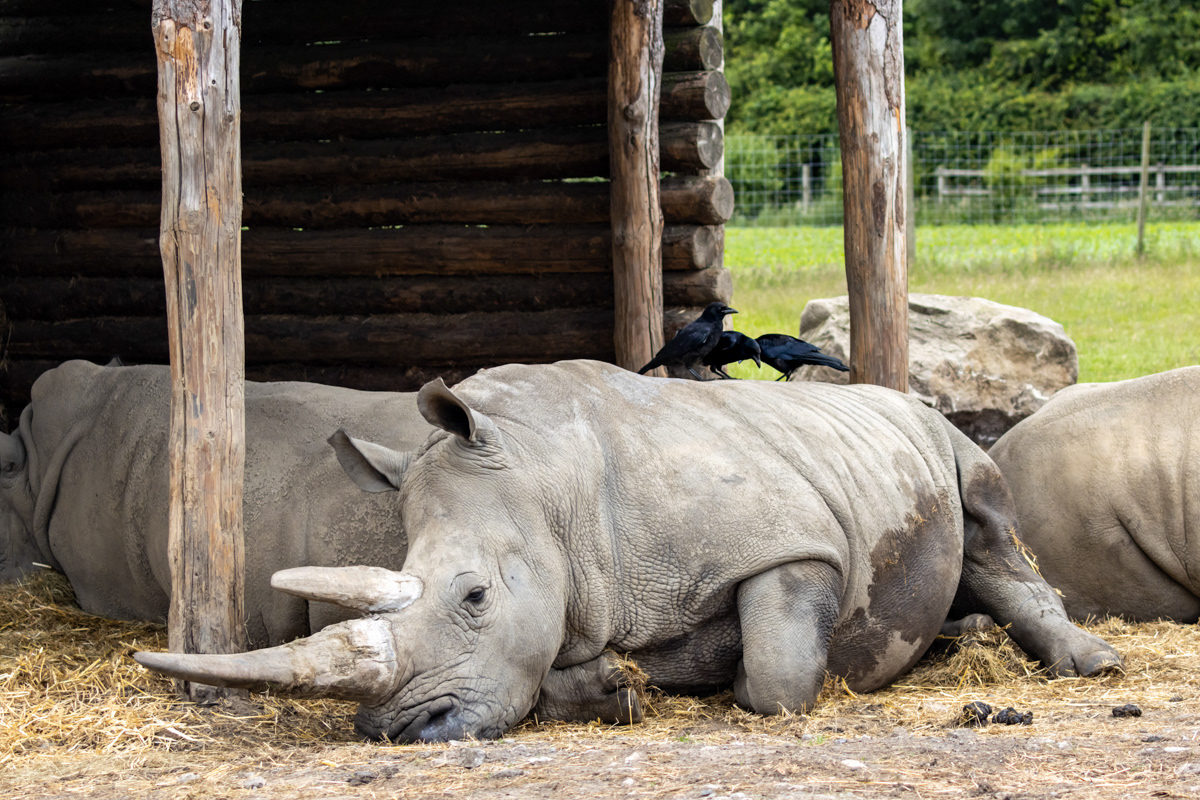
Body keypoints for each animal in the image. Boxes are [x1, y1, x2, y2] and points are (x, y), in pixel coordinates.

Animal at [136, 360, 1121, 742]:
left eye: (475, 598)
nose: (398, 729)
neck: (549, 483)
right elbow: (565, 666)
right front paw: (617, 688)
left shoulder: (790, 546)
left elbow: (773, 679)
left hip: (936, 431)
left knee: (988, 518)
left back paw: (1094, 666)